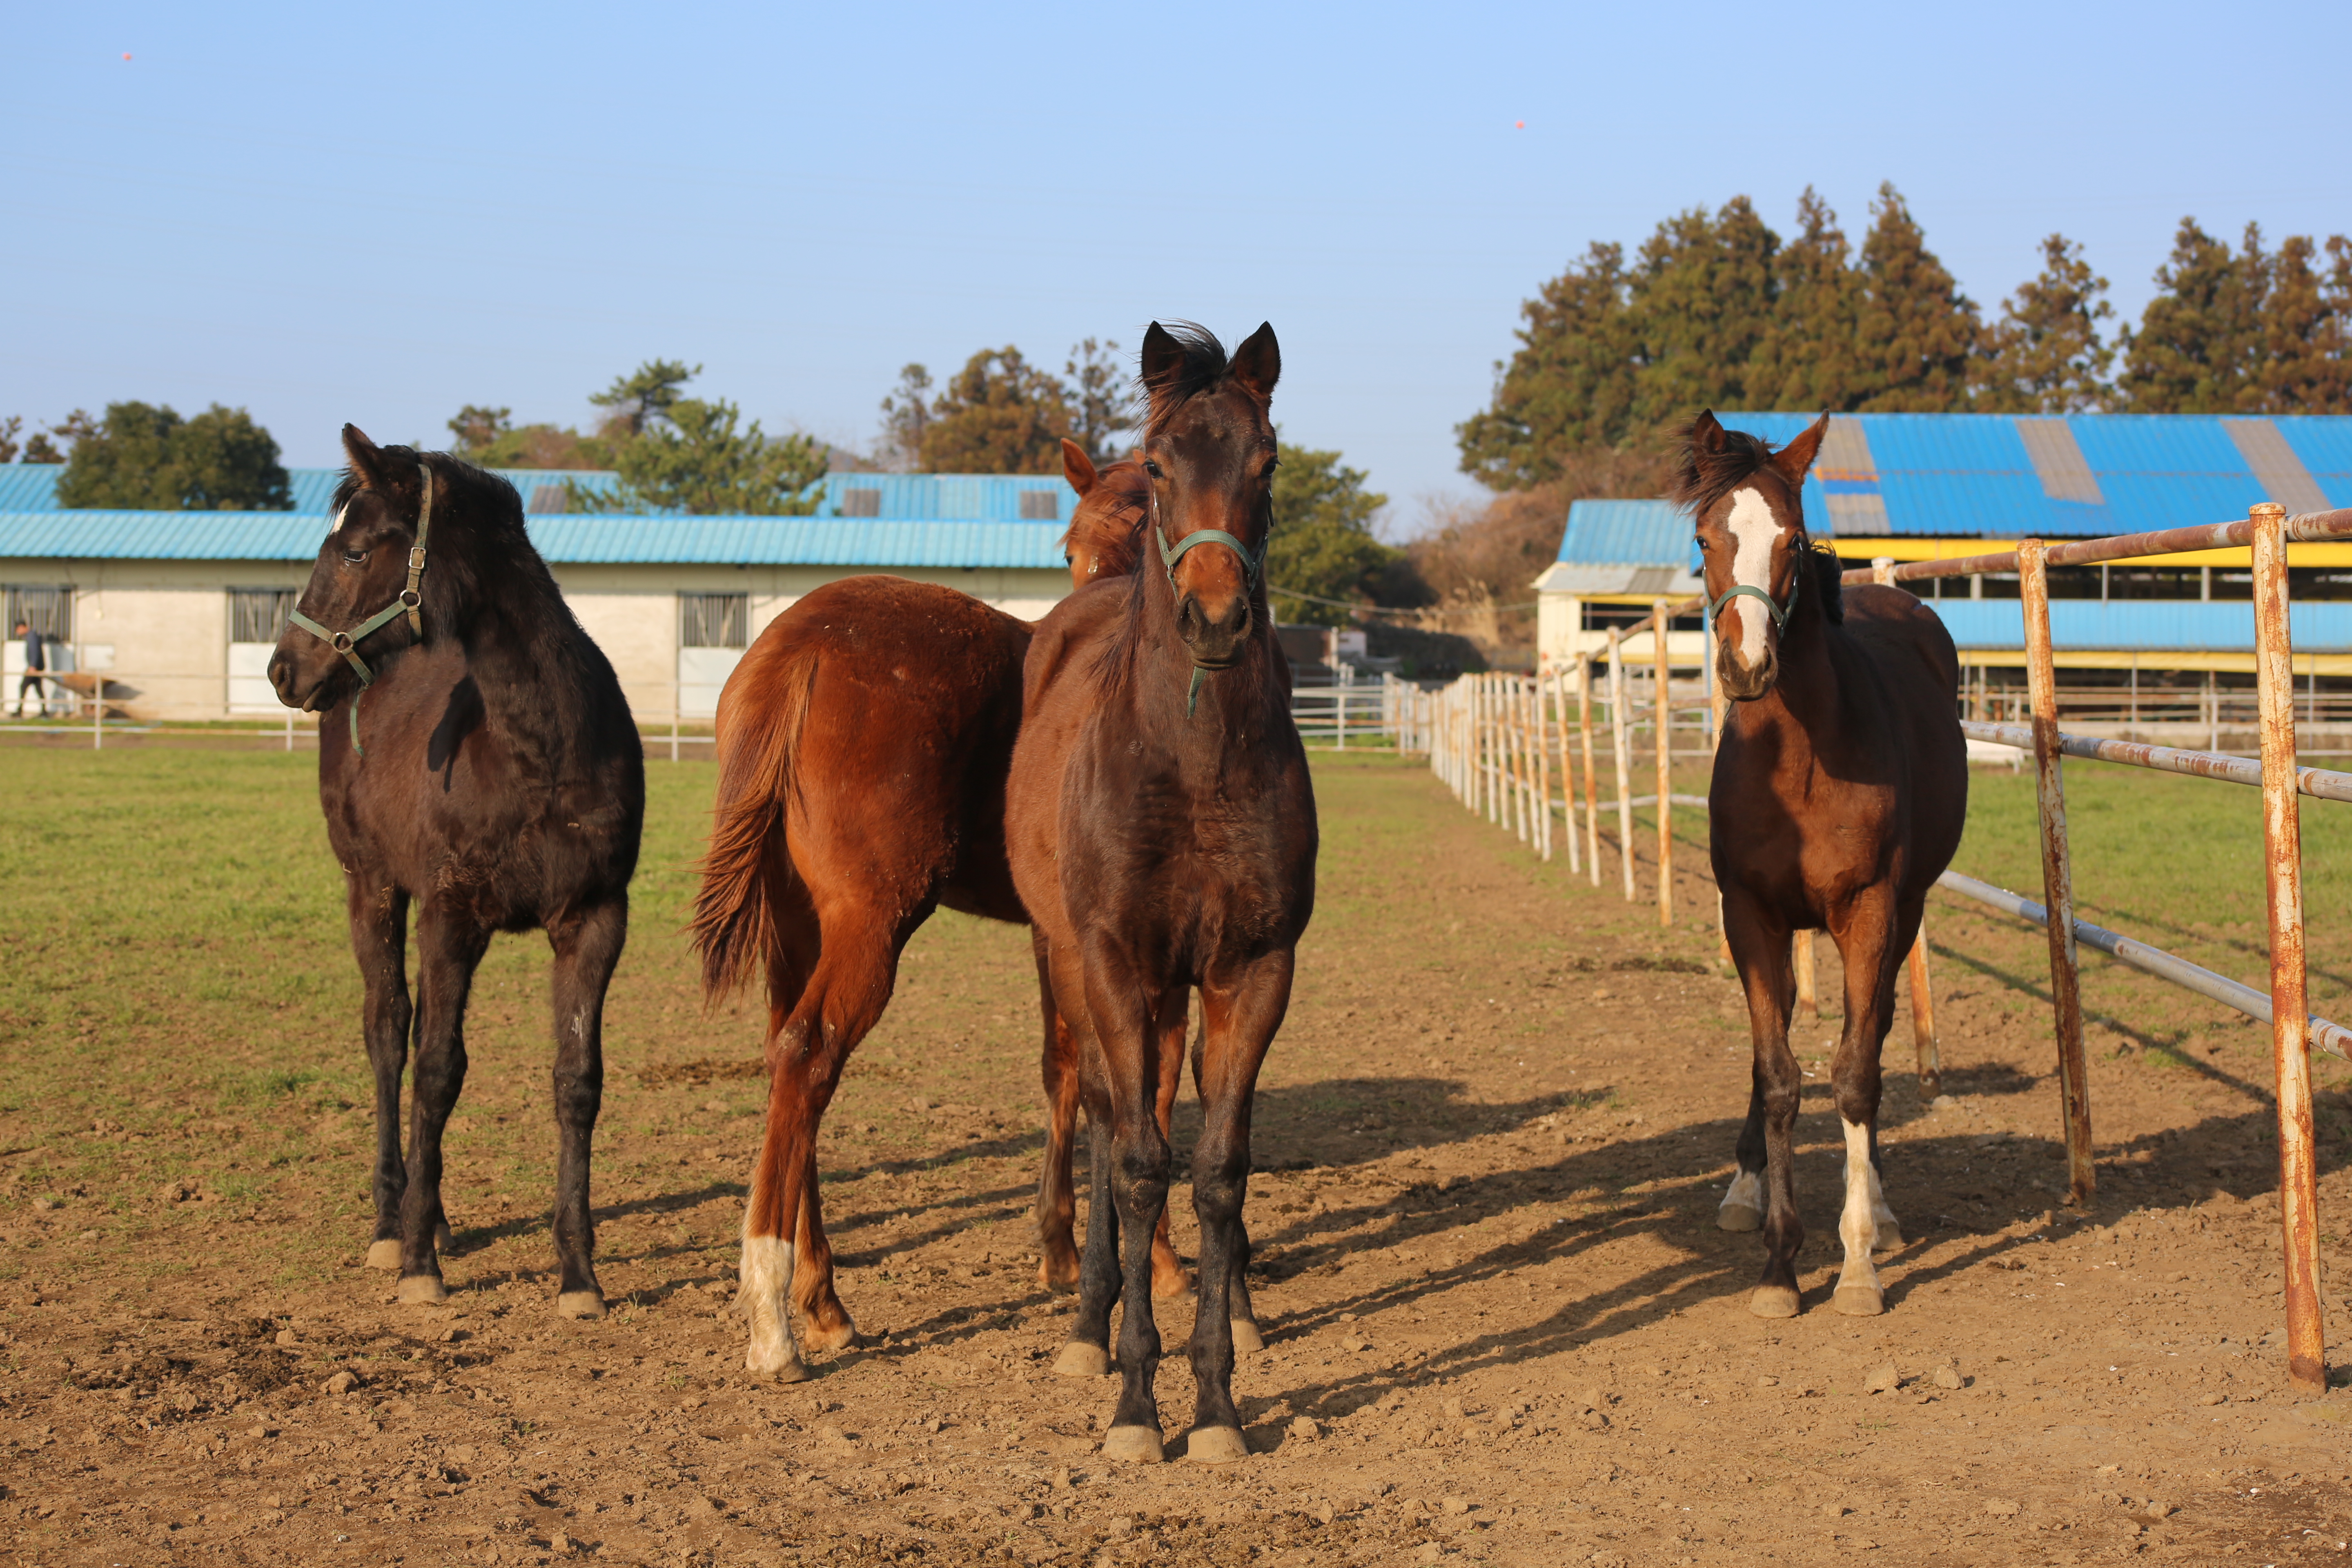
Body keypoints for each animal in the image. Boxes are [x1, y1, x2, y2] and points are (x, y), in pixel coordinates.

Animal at [269, 423, 644, 1316]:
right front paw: (416, 1266)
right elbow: (437, 1070)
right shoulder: (452, 915)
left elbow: (577, 1082)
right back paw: (393, 1222)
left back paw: (429, 1215)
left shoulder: (596, 920)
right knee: (387, 1034)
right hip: (371, 885)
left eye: (355, 550)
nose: (283, 669)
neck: (537, 751)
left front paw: (579, 1275)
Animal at [686, 442, 1185, 1382]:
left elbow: (1066, 1069)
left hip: (799, 930)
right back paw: (774, 1316)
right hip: (870, 928)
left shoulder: (1056, 937)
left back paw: (823, 1300)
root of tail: (794, 650)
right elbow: (1148, 1083)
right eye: (1073, 549)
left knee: (785, 1063)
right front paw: (1164, 1261)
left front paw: (1061, 1249)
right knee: (808, 1056)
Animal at [1002, 322, 1317, 1476]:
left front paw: (1218, 1396)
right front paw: (1138, 1400)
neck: (1191, 762)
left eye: (1268, 462)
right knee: (1100, 1114)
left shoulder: (1251, 970)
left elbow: (1219, 1166)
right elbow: (1136, 1161)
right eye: (1160, 459)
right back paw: (1089, 1323)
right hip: (1075, 967)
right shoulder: (1109, 962)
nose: (1216, 619)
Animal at [1693, 411, 1966, 1316]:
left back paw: (1878, 1211)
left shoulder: (1871, 909)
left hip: (1903, 914)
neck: (1802, 757)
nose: (1747, 668)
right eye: (1704, 537)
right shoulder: (1749, 912)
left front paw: (1856, 1265)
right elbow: (1778, 1074)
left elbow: (1853, 1073)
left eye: (1792, 538)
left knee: (1870, 1038)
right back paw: (1744, 1192)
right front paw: (1779, 1265)